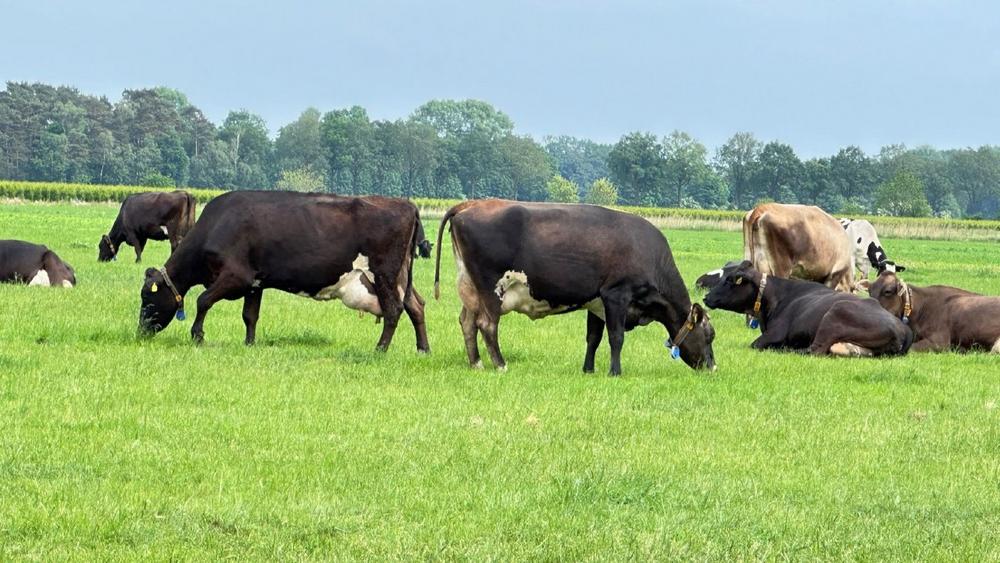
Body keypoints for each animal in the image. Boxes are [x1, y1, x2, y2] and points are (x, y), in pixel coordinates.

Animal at [137, 191, 431, 353]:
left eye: (147, 298)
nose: (141, 332)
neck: (217, 226)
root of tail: (406, 204)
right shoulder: (254, 282)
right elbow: (250, 316)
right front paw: (249, 344)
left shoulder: (237, 276)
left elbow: (203, 300)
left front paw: (198, 336)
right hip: (400, 277)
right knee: (415, 306)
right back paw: (423, 349)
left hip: (384, 274)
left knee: (394, 310)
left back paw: (380, 350)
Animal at [433, 200, 716, 375]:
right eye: (710, 335)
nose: (713, 368)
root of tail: (472, 203)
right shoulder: (616, 295)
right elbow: (616, 337)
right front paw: (615, 372)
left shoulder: (597, 301)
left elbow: (593, 338)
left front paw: (588, 369)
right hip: (491, 289)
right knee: (487, 324)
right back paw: (501, 365)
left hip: (470, 288)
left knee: (467, 322)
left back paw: (476, 364)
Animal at [703, 261, 912, 357]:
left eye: (730, 280)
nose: (706, 298)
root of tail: (902, 328)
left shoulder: (774, 334)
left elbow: (754, 344)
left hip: (834, 315)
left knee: (814, 349)